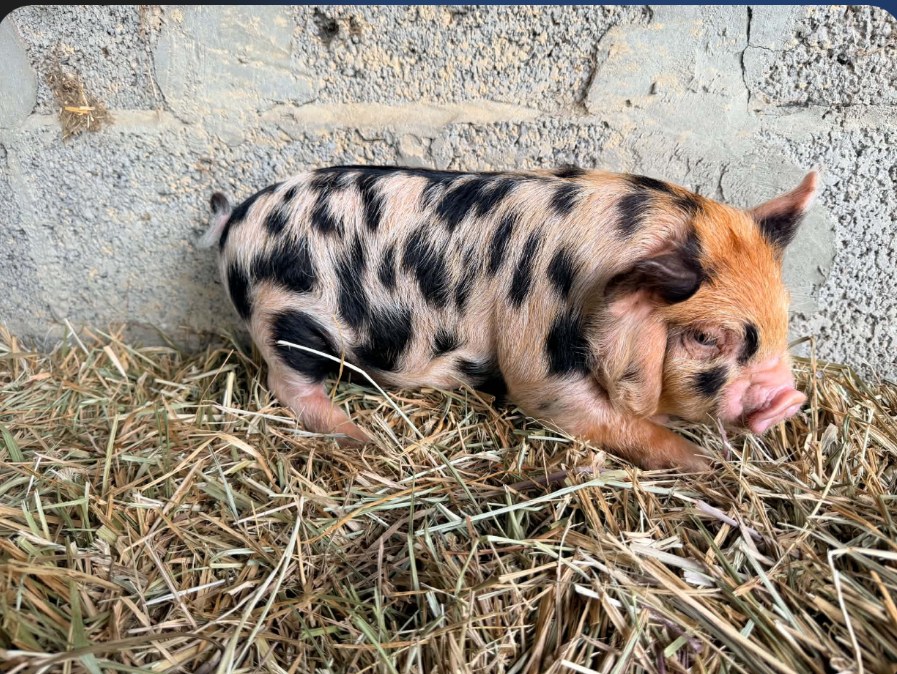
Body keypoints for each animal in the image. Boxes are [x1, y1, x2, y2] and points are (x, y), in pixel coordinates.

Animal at [200, 165, 816, 471]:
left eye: (786, 318)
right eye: (707, 337)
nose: (790, 398)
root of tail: (235, 220)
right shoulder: (535, 352)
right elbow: (584, 411)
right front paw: (701, 465)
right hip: (286, 324)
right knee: (290, 387)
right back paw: (361, 438)